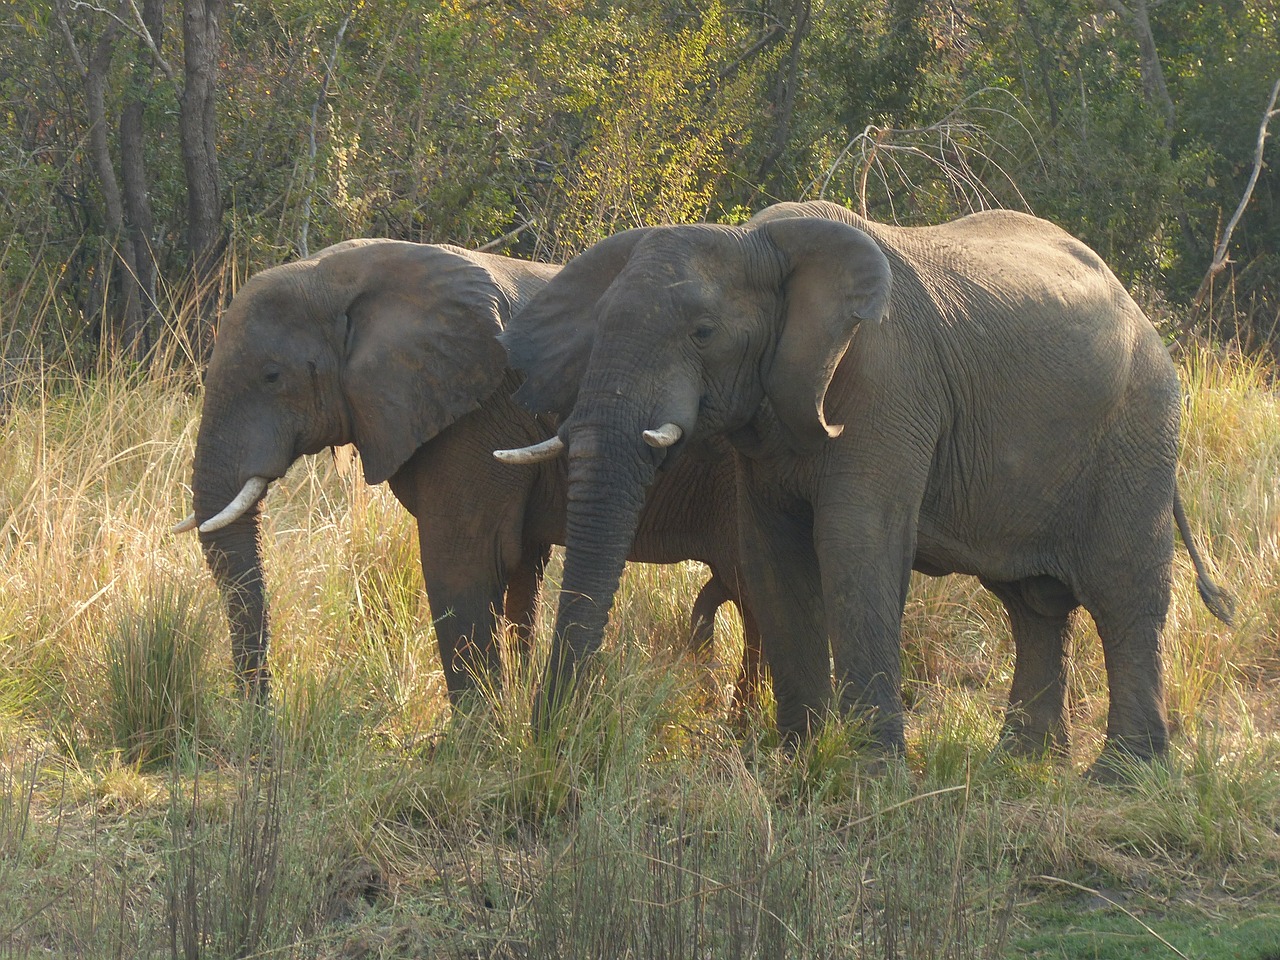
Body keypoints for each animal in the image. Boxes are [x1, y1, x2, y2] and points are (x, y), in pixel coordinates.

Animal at [175, 238, 762, 711]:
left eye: (273, 376)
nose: (262, 723)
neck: (341, 273)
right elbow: (522, 566)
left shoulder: (480, 412)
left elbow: (462, 562)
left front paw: (473, 746)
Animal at [494, 199, 1233, 778]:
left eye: (702, 334)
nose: (555, 741)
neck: (757, 242)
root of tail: (1143, 318)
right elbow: (772, 555)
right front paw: (800, 759)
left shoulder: (888, 385)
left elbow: (857, 543)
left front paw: (869, 775)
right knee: (1032, 604)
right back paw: (1021, 766)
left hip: (1138, 430)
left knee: (1122, 594)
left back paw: (1121, 777)